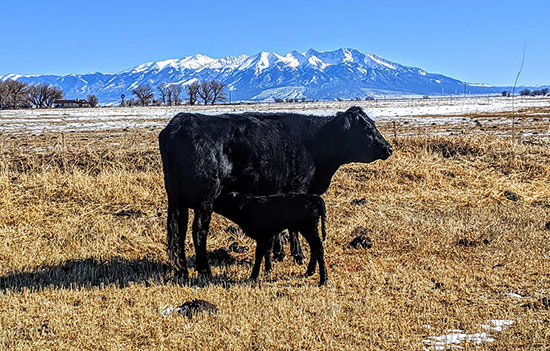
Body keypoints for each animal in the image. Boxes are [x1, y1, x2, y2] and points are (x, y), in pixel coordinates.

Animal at [160, 106, 392, 282]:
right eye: (366, 128)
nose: (388, 148)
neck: (316, 143)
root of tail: (180, 122)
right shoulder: (298, 188)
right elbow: (292, 228)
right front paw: (297, 255)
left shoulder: (278, 193)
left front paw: (278, 254)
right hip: (205, 200)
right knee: (198, 231)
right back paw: (204, 270)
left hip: (177, 199)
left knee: (178, 232)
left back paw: (182, 270)